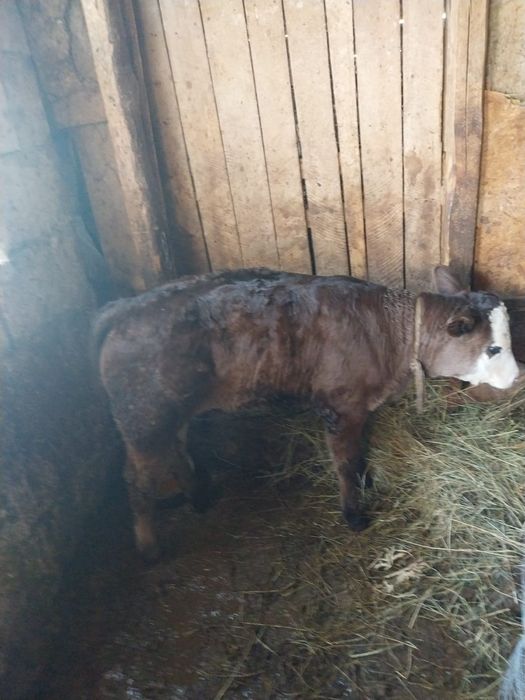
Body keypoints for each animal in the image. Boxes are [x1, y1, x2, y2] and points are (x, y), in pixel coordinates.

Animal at [93, 265, 519, 560]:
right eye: (493, 348)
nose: (517, 375)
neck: (390, 334)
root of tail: (126, 307)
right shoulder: (340, 407)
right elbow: (344, 462)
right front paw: (354, 515)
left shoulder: (363, 407)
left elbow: (362, 451)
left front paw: (366, 481)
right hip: (143, 415)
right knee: (137, 478)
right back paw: (149, 548)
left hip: (167, 409)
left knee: (176, 450)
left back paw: (199, 496)